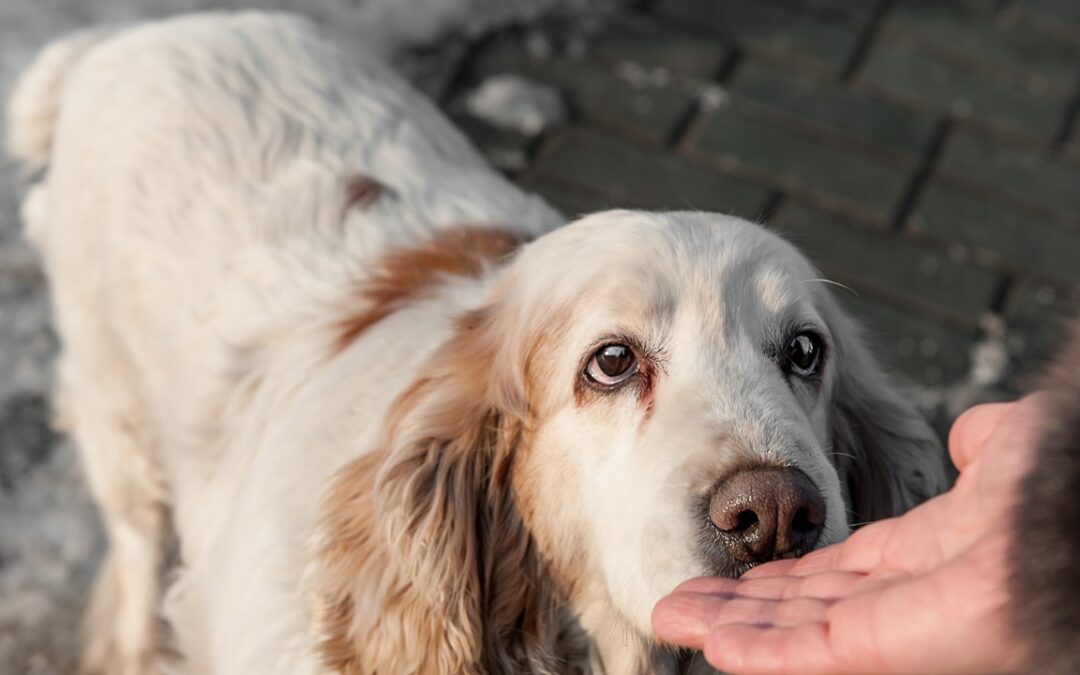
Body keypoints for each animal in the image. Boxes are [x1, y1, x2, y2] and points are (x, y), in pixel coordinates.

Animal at [8, 10, 950, 673]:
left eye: (805, 352)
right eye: (611, 362)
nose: (776, 514)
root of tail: (127, 37)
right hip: (118, 416)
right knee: (136, 548)